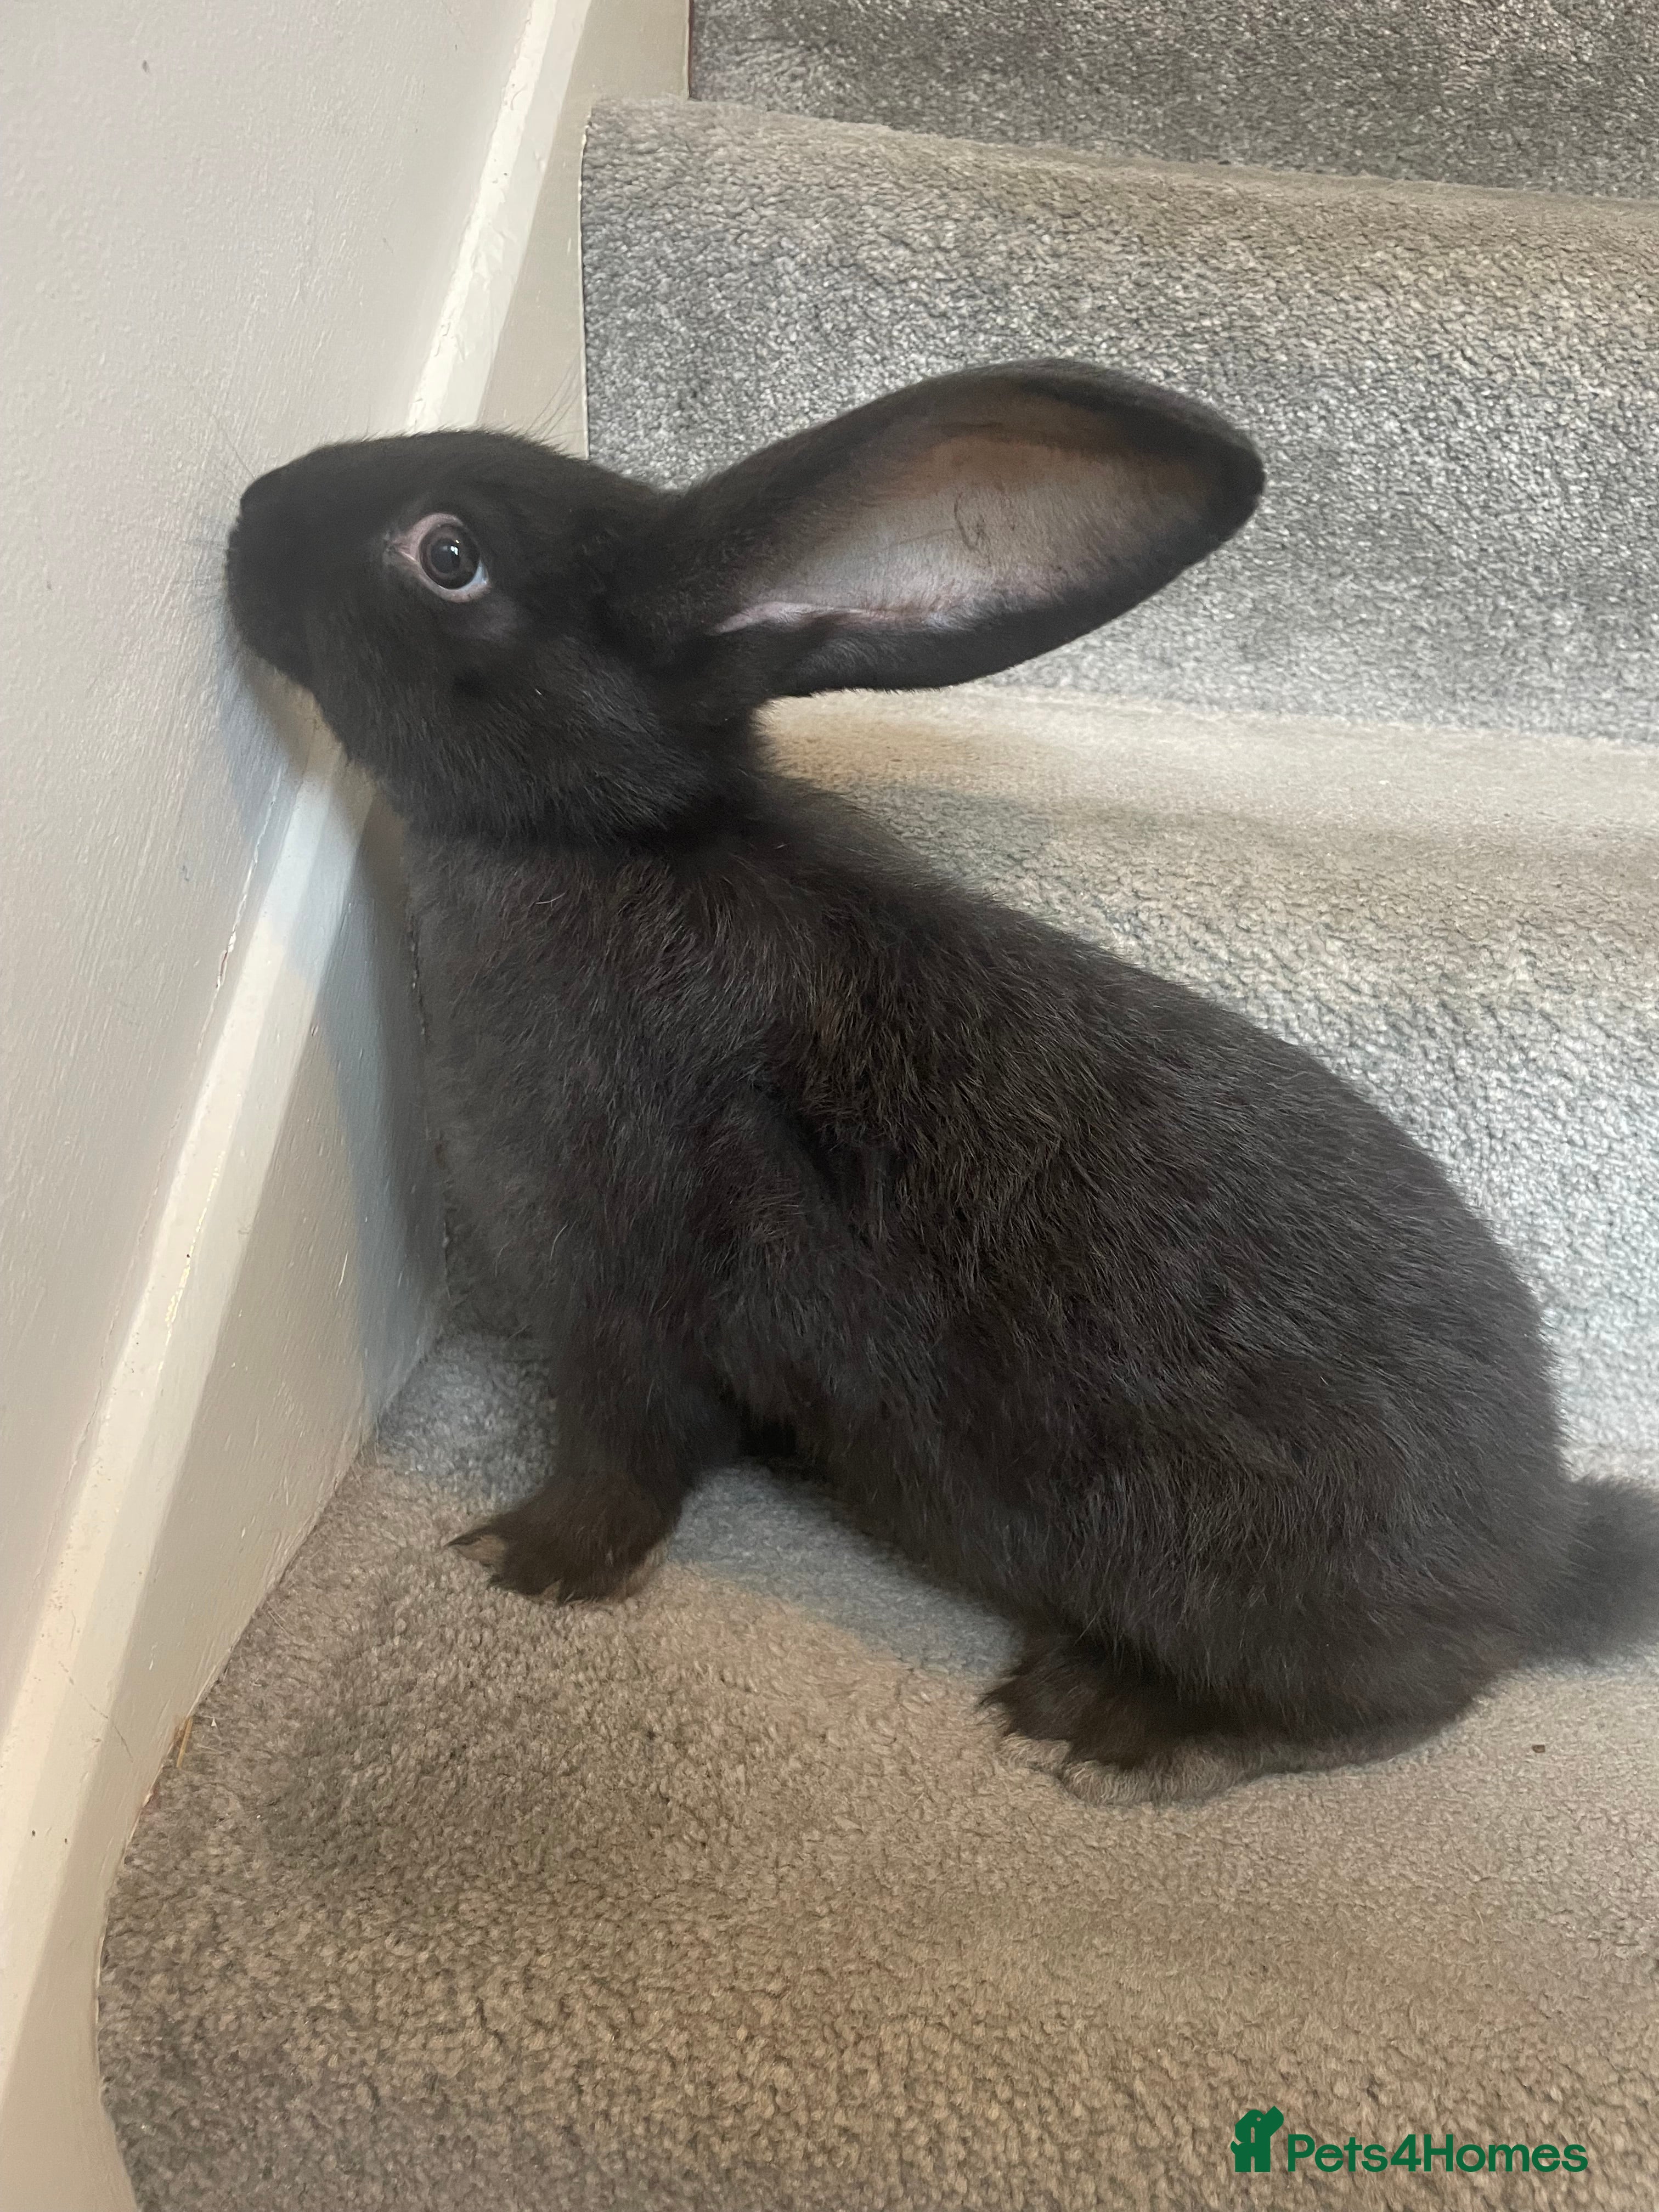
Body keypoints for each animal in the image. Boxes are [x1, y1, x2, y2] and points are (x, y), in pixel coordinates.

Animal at [225, 360, 1659, 1804]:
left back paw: (1105, 1725)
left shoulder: (618, 1295)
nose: (249, 513)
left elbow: (626, 1455)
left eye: (448, 555)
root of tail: (1541, 1548)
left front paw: (524, 1560)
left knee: (1399, 1705)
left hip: (1266, 1595)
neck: (605, 841)